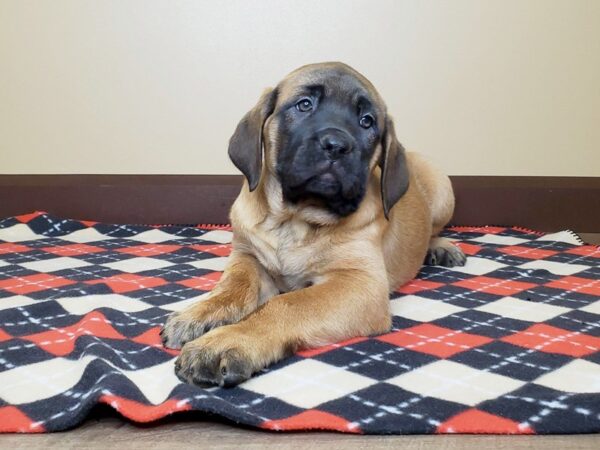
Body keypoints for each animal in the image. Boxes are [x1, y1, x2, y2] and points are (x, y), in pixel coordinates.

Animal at [158, 62, 464, 386]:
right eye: (304, 105)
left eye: (367, 122)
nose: (337, 146)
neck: (295, 220)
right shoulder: (248, 255)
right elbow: (234, 285)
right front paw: (198, 315)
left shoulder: (360, 282)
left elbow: (286, 305)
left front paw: (226, 341)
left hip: (442, 189)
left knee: (433, 228)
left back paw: (441, 247)